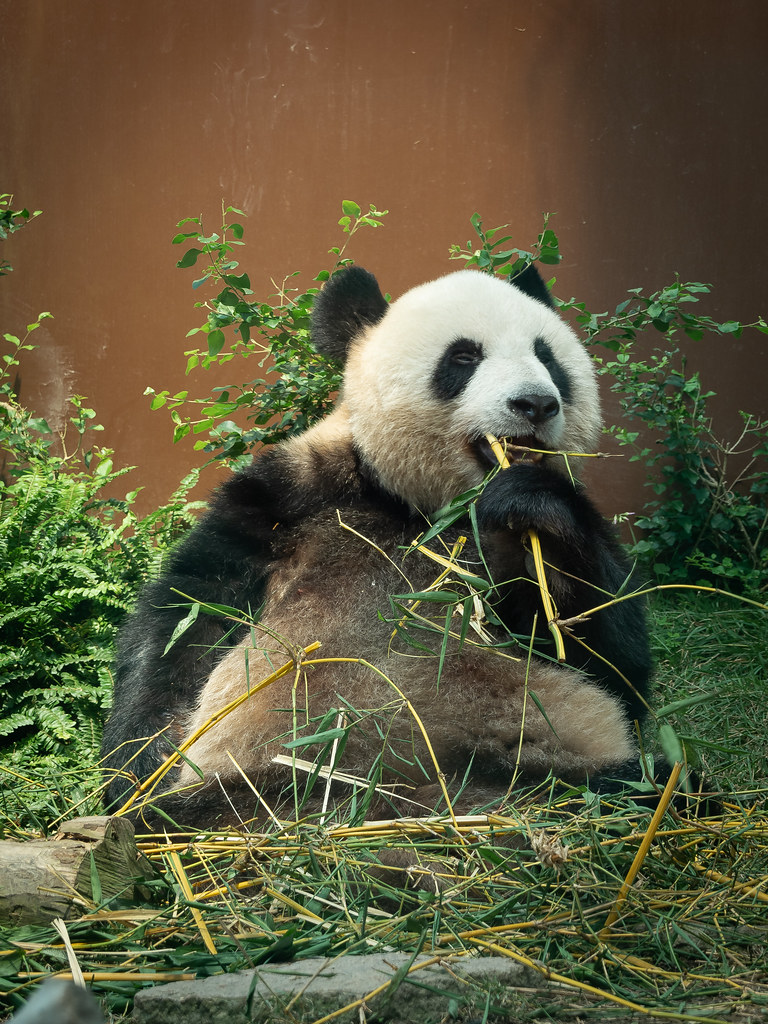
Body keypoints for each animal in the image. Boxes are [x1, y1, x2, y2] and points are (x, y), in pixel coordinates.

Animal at [101, 263, 653, 829]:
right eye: (464, 357)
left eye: (547, 357)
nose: (536, 404)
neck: (425, 507)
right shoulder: (291, 498)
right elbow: (190, 618)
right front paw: (137, 771)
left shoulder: (506, 551)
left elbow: (608, 663)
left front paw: (535, 501)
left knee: (632, 787)